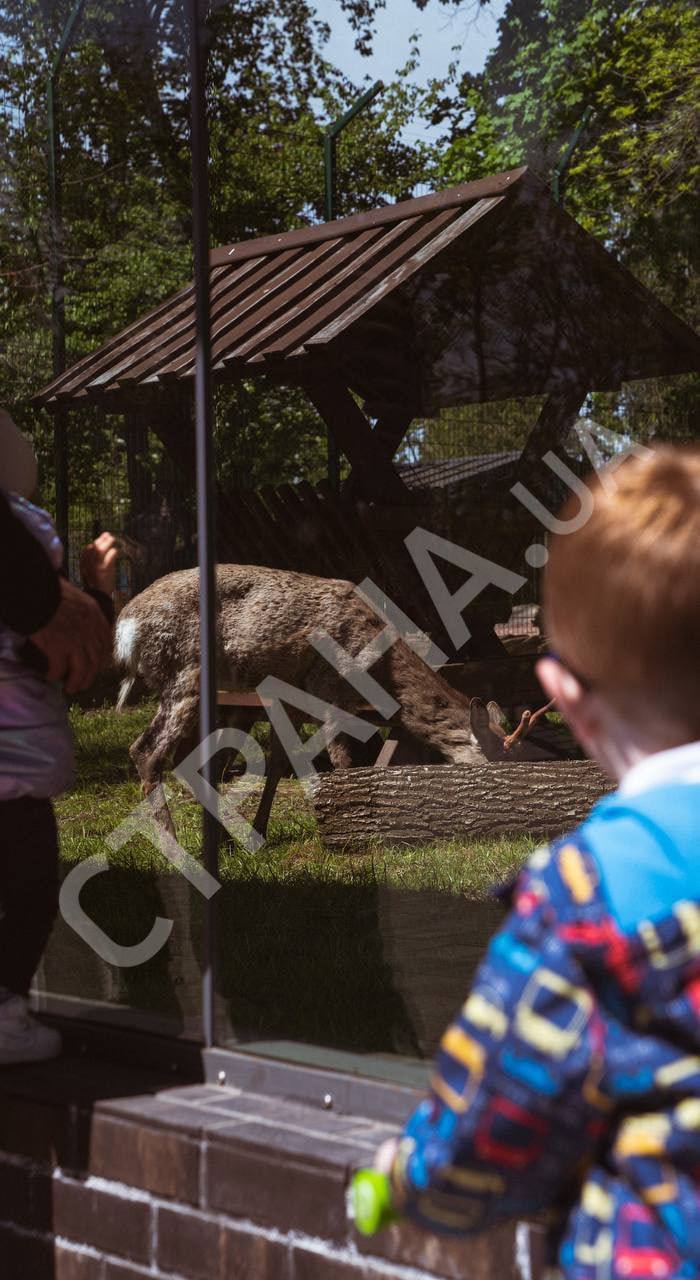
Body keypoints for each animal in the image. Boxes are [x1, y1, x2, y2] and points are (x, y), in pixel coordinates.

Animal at [115, 565, 501, 834]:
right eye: (495, 758)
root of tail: (123, 631)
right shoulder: (329, 690)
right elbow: (343, 761)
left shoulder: (291, 700)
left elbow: (279, 764)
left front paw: (260, 827)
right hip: (184, 673)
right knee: (147, 751)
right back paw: (173, 842)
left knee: (188, 761)